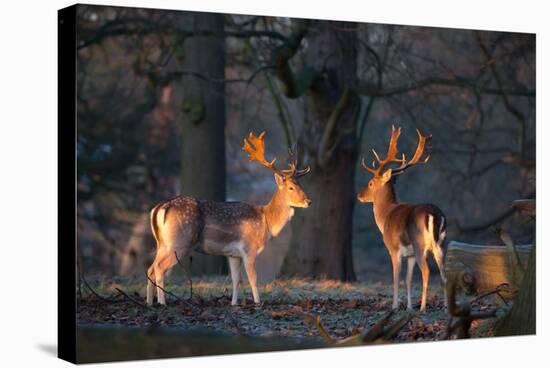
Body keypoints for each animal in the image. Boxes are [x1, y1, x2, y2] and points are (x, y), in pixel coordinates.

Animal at [147, 131, 310, 306]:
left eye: (301, 185)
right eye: (291, 187)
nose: (308, 201)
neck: (266, 221)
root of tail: (159, 208)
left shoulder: (233, 254)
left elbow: (236, 280)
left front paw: (234, 303)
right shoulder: (249, 248)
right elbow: (252, 279)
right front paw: (257, 303)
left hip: (162, 243)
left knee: (150, 269)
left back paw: (149, 302)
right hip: (180, 242)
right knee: (159, 267)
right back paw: (162, 302)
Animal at [358, 126, 448, 310]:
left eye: (371, 183)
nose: (359, 195)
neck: (385, 217)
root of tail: (435, 214)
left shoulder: (393, 249)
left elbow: (396, 279)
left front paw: (395, 306)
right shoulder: (410, 255)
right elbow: (408, 280)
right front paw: (408, 306)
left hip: (420, 243)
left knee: (427, 271)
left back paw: (423, 307)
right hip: (441, 244)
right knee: (445, 274)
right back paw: (446, 307)